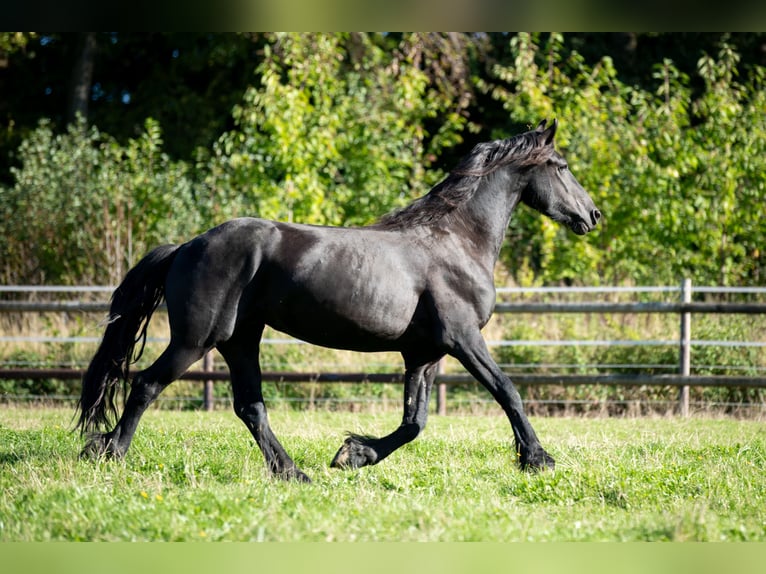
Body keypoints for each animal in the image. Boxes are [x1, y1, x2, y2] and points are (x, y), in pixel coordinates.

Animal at [76, 119, 600, 482]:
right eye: (562, 167)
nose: (592, 215)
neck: (455, 240)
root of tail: (186, 245)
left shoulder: (424, 353)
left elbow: (414, 421)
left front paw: (352, 454)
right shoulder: (462, 339)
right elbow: (507, 390)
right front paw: (538, 459)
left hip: (240, 339)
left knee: (250, 406)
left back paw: (293, 472)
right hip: (197, 339)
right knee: (147, 384)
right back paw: (108, 452)